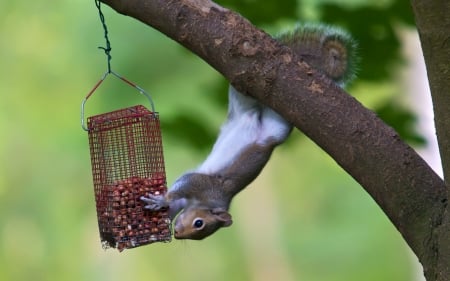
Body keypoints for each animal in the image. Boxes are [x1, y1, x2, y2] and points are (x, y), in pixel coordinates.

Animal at [142, 23, 356, 240]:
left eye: (199, 227)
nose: (177, 234)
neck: (211, 202)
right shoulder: (205, 186)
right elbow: (186, 183)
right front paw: (162, 202)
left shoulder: (199, 193)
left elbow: (178, 197)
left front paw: (160, 207)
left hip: (267, 119)